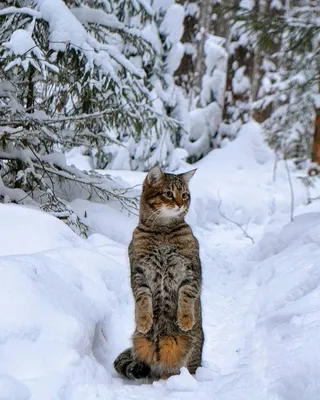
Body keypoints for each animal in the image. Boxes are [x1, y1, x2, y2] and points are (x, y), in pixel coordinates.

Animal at [114, 166, 204, 382]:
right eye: (169, 194)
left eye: (185, 195)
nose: (180, 204)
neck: (163, 230)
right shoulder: (139, 272)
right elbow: (142, 299)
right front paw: (144, 320)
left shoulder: (191, 270)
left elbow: (187, 295)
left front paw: (186, 319)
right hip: (140, 343)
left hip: (187, 353)